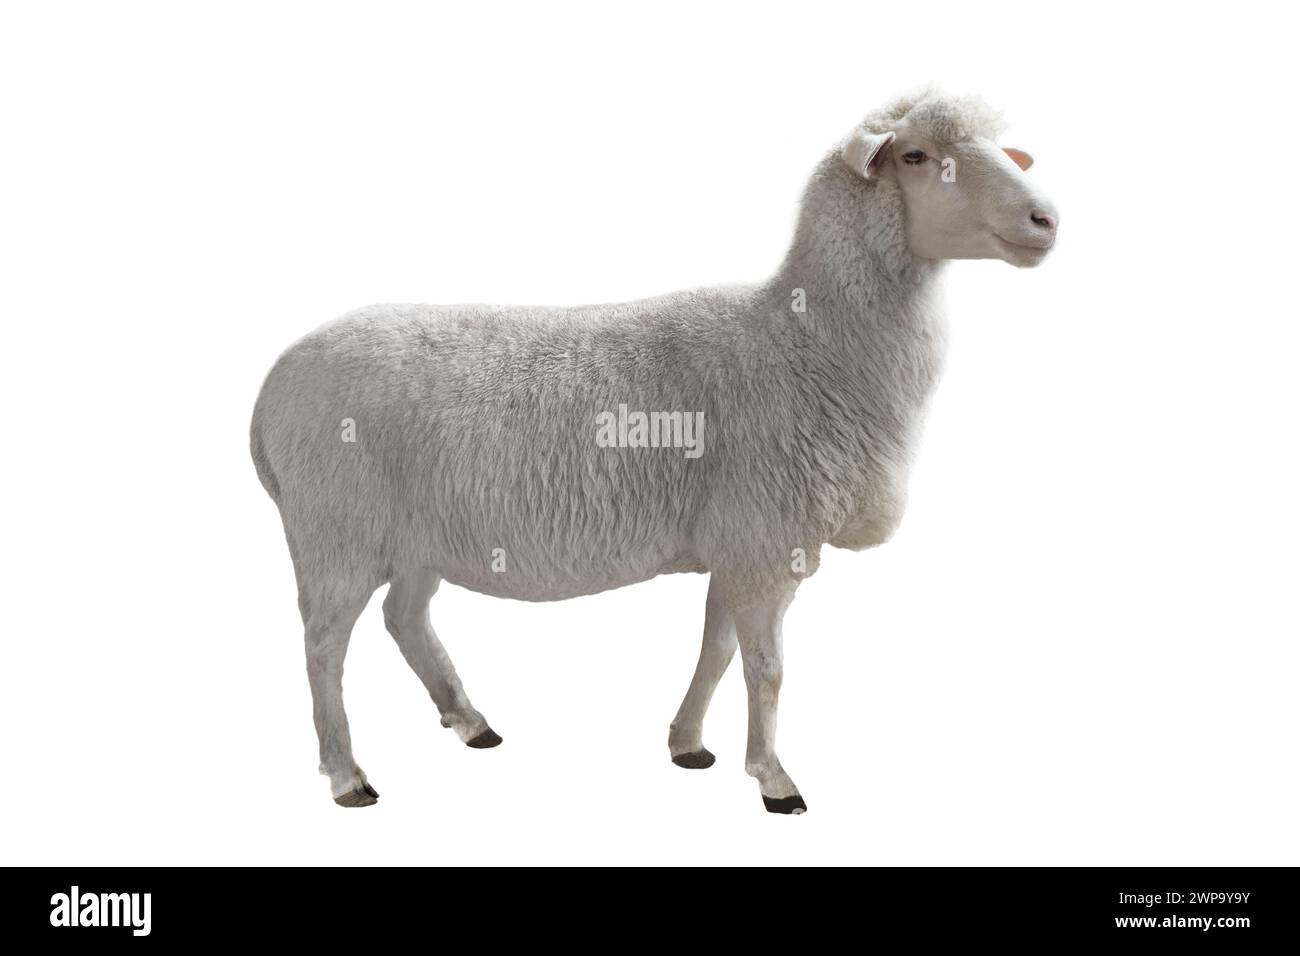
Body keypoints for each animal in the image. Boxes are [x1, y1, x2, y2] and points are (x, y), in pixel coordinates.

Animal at [251, 89, 1059, 813]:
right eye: (916, 156)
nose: (1046, 219)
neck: (805, 339)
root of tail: (272, 384)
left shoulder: (737, 544)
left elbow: (717, 650)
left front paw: (688, 744)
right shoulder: (767, 540)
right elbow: (767, 670)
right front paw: (774, 780)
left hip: (416, 534)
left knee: (405, 619)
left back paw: (471, 721)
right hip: (335, 530)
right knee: (323, 645)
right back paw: (348, 775)